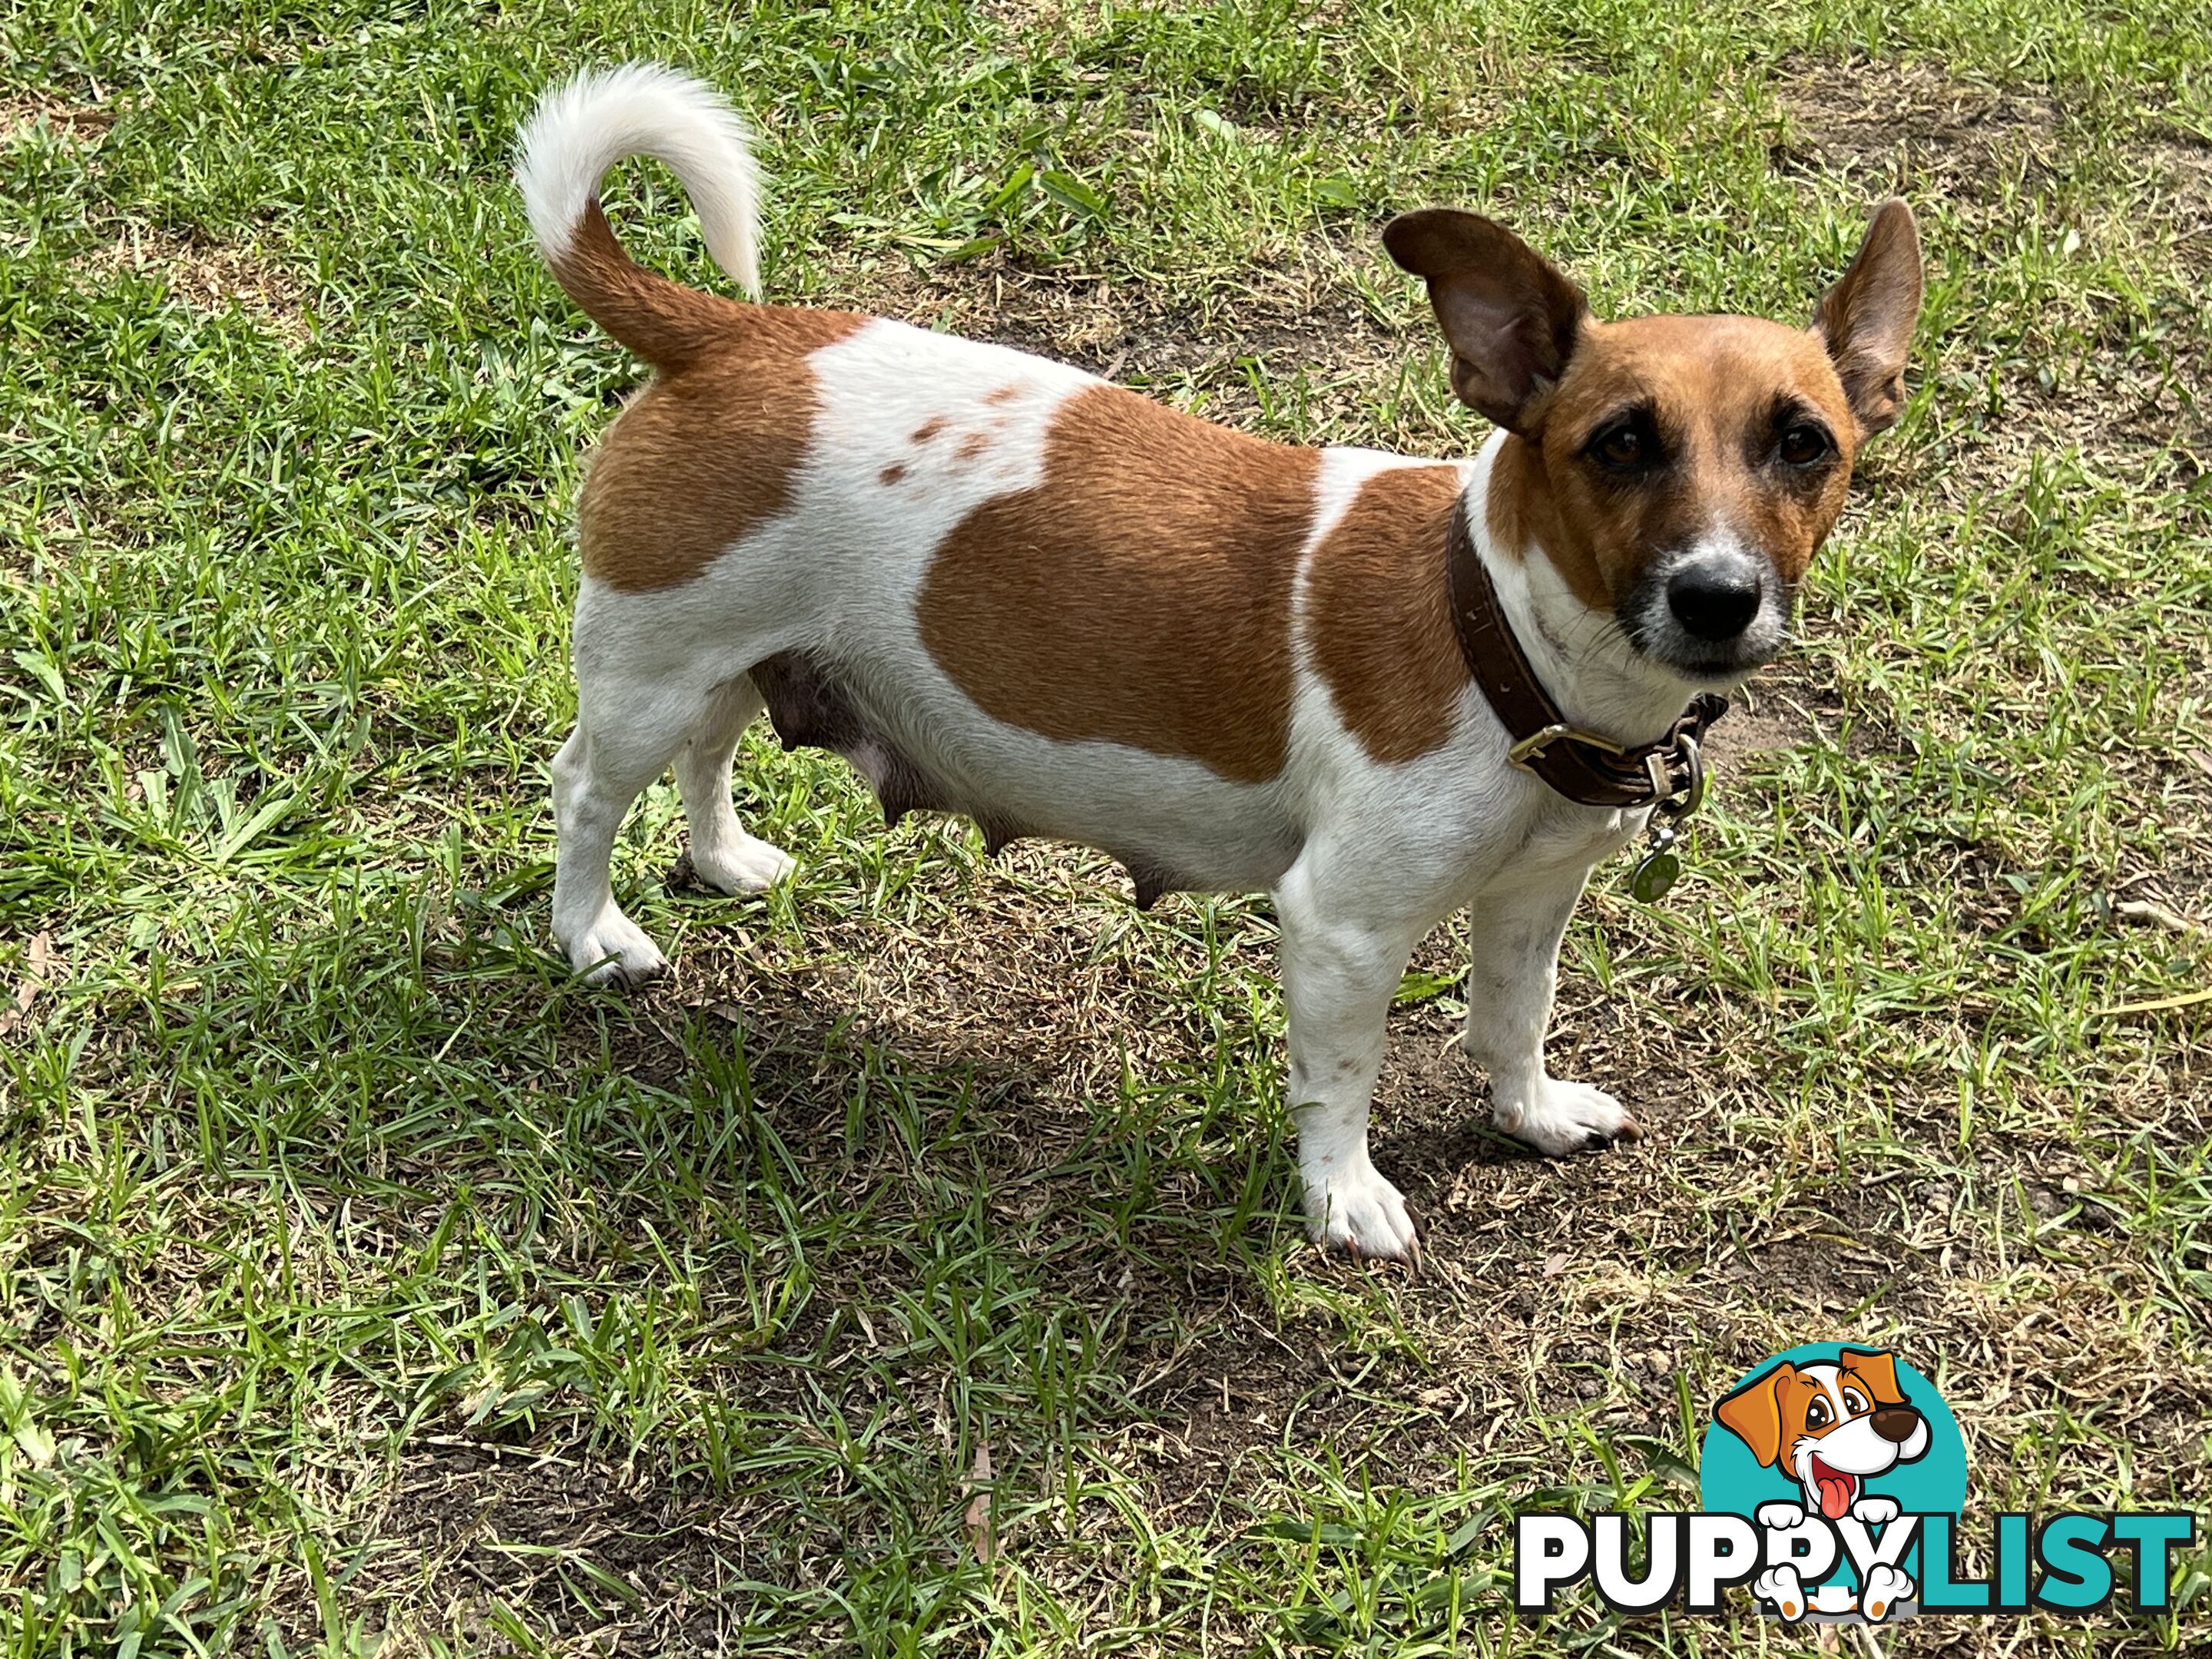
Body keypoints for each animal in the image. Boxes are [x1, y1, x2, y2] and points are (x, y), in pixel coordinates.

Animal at [513, 61, 1919, 1256]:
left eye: (1805, 443)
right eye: (1621, 443)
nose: (1719, 598)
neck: (1494, 634)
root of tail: (724, 335)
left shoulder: (1535, 897)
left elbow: (1511, 1019)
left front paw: (1528, 1116)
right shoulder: (1343, 931)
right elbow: (1342, 1079)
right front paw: (1344, 1200)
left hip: (737, 656)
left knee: (709, 751)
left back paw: (723, 860)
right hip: (647, 672)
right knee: (586, 792)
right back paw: (593, 935)